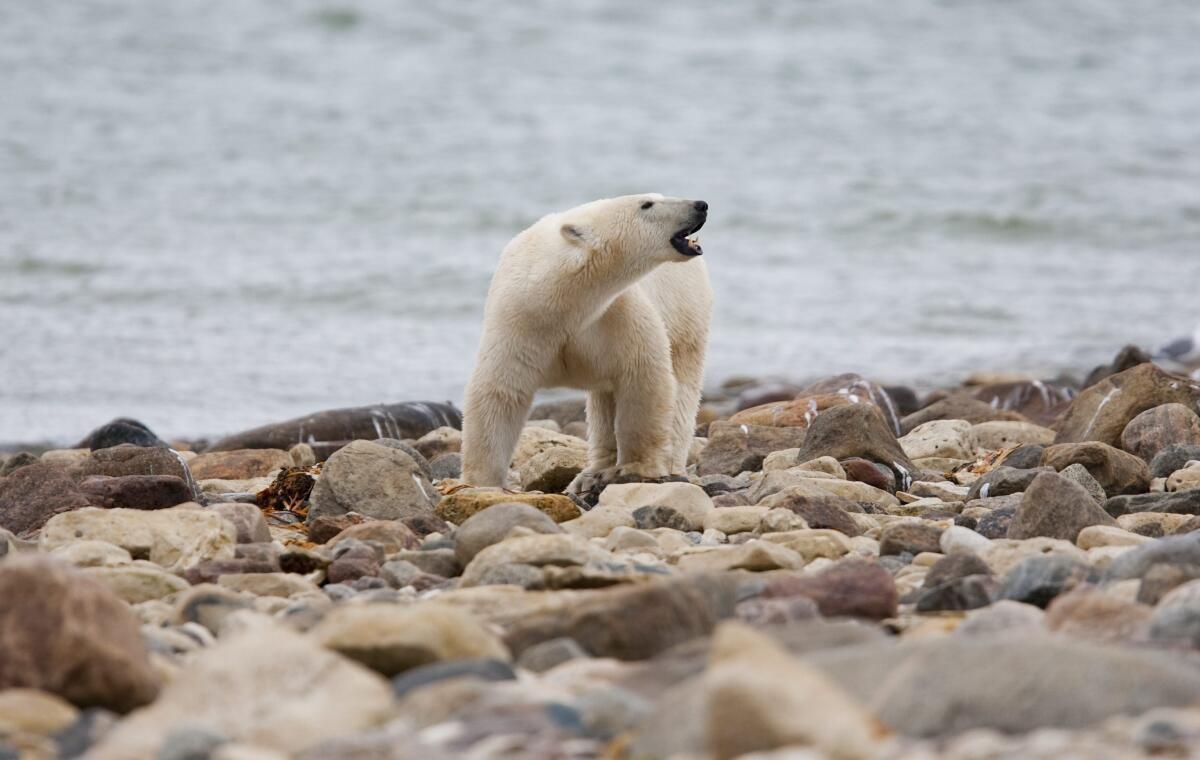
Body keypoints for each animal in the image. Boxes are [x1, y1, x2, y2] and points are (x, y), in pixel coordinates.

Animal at [460, 192, 710, 489]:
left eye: (657, 196)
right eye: (646, 204)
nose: (700, 205)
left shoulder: (616, 314)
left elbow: (643, 377)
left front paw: (637, 467)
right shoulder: (519, 322)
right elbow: (500, 391)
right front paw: (481, 480)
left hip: (686, 315)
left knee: (682, 388)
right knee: (604, 401)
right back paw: (592, 473)